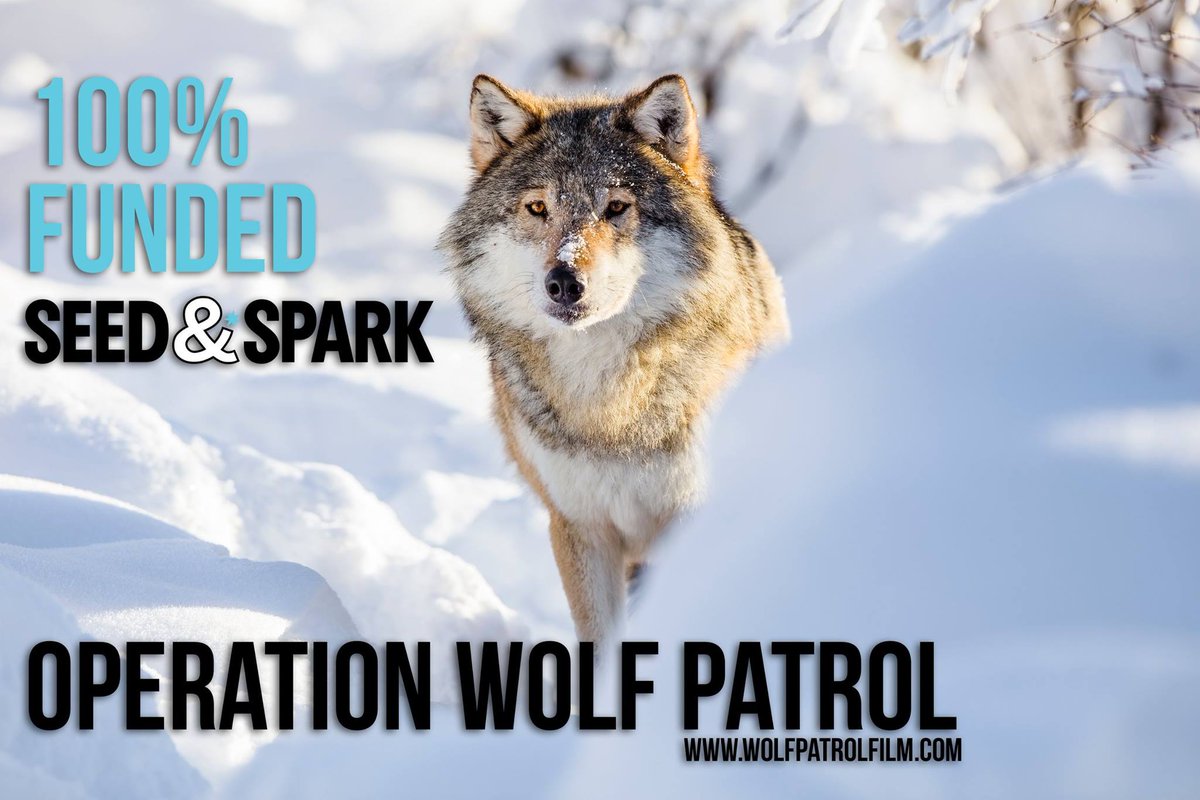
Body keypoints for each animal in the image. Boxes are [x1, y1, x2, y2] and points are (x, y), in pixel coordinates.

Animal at [440, 73, 788, 643]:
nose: (563, 281)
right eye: (538, 208)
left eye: (616, 208)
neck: (607, 405)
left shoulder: (687, 519)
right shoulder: (579, 527)